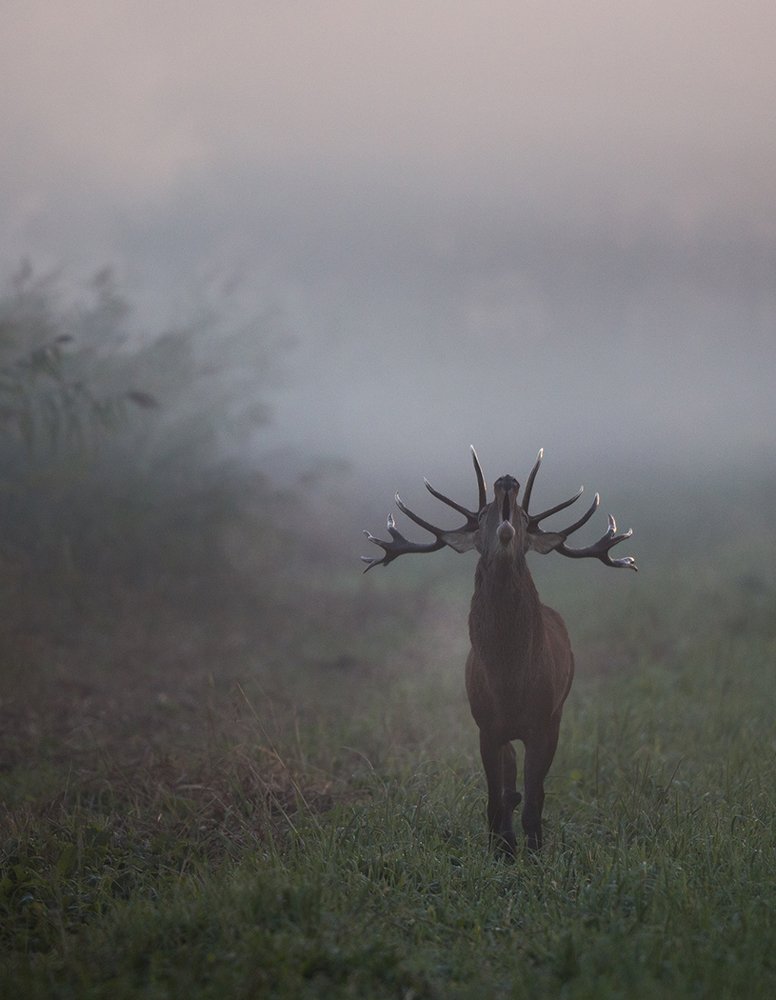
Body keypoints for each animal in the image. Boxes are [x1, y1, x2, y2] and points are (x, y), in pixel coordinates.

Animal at [362, 448, 636, 854]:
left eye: (523, 517)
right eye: (480, 516)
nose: (506, 480)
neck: (510, 682)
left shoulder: (546, 721)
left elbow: (536, 799)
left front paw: (534, 851)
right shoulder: (485, 725)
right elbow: (495, 798)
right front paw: (500, 848)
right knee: (508, 777)